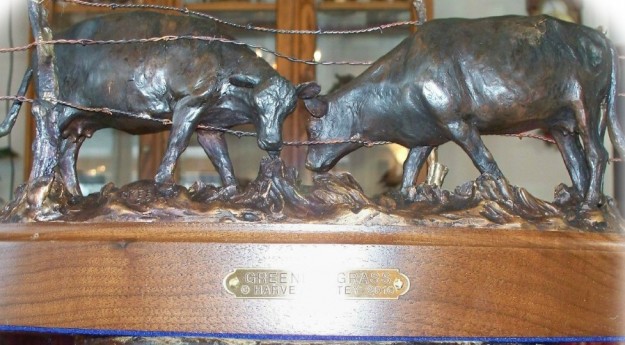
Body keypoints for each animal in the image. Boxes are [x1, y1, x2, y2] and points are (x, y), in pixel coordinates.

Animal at [0, 10, 312, 196]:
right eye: (260, 103)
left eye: (288, 109)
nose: (273, 143)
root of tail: (39, 50)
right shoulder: (190, 103)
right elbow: (178, 142)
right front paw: (163, 182)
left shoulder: (209, 126)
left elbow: (221, 157)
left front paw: (231, 191)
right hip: (60, 106)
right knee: (45, 132)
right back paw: (39, 187)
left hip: (83, 121)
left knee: (66, 153)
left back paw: (76, 197)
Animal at [304, 14, 624, 206]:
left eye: (312, 128)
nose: (307, 164)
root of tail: (600, 38)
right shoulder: (427, 135)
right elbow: (410, 166)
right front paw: (405, 196)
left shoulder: (457, 123)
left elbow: (485, 160)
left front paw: (503, 192)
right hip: (561, 124)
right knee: (576, 162)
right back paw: (575, 201)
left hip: (586, 105)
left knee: (597, 154)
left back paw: (588, 205)